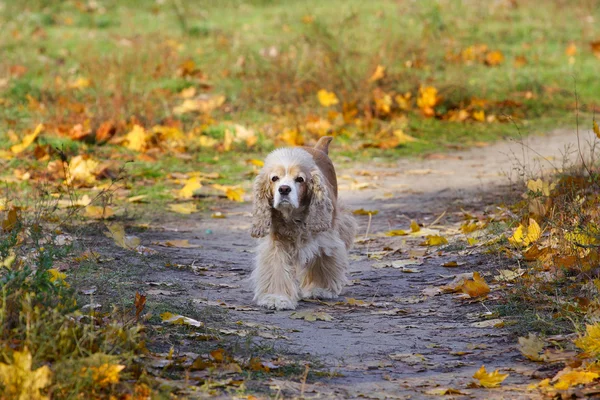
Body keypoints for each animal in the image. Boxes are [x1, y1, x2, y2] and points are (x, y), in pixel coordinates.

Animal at [250, 137, 356, 310]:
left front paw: (320, 288)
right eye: (274, 178)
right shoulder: (276, 242)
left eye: (299, 179)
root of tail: (318, 148)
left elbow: (322, 260)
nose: (284, 189)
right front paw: (276, 297)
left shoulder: (324, 238)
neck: (292, 215)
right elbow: (277, 267)